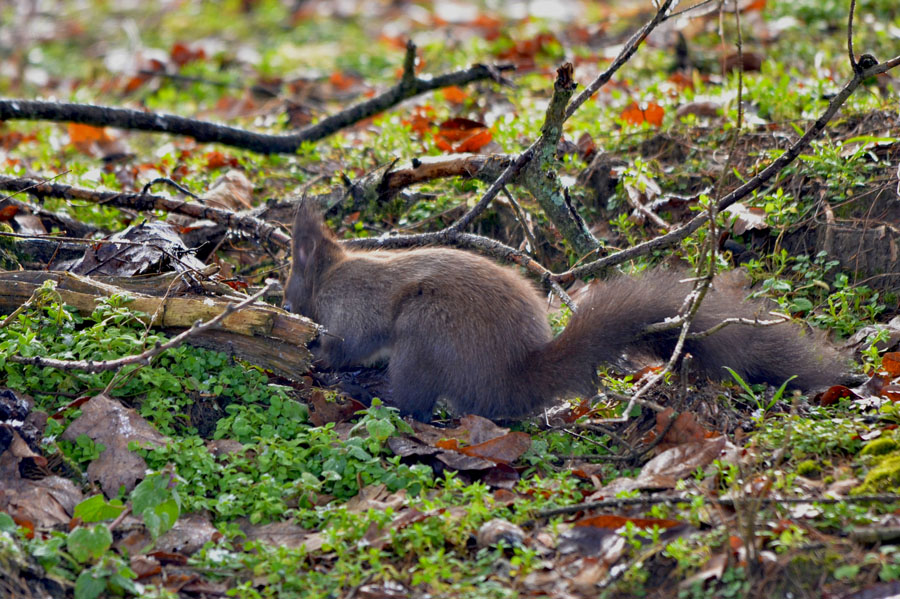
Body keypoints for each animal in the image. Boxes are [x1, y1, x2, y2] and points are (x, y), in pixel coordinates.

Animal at [284, 199, 848, 420]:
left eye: (288, 289)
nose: (281, 303)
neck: (332, 273)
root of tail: (510, 380)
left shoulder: (353, 309)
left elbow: (351, 344)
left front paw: (320, 356)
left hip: (425, 332)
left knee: (416, 403)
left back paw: (377, 397)